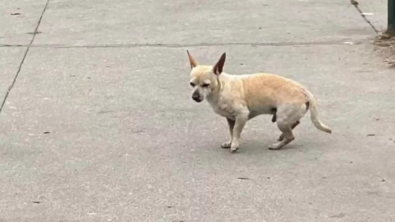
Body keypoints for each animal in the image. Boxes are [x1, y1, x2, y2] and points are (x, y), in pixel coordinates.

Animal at [187, 51, 332, 153]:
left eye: (205, 85)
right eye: (192, 84)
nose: (194, 96)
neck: (221, 88)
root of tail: (305, 92)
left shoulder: (242, 115)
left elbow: (236, 131)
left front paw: (235, 145)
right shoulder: (230, 119)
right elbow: (231, 131)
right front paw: (230, 142)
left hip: (281, 119)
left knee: (291, 136)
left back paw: (277, 145)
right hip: (284, 118)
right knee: (295, 123)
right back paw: (281, 137)